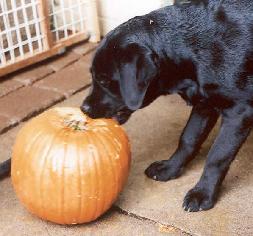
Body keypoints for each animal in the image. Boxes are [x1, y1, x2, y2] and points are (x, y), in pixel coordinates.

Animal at [80, 0, 253, 212]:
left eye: (104, 81)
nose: (84, 108)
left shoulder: (239, 112)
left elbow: (217, 156)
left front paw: (202, 193)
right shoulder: (204, 103)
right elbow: (188, 138)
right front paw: (170, 168)